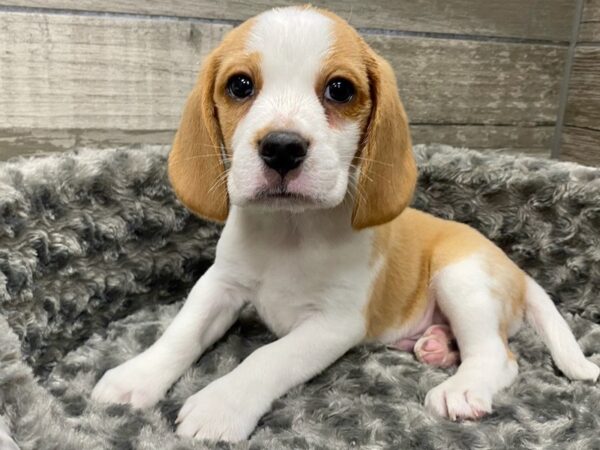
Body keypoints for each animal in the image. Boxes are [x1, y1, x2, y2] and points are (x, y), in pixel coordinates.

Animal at [90, 6, 600, 442]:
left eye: (339, 90)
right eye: (240, 85)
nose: (282, 147)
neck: (291, 232)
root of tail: (519, 272)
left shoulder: (333, 324)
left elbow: (266, 356)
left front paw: (222, 404)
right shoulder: (219, 285)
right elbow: (182, 331)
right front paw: (136, 376)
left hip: (463, 278)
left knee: (499, 356)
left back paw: (462, 388)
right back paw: (436, 345)